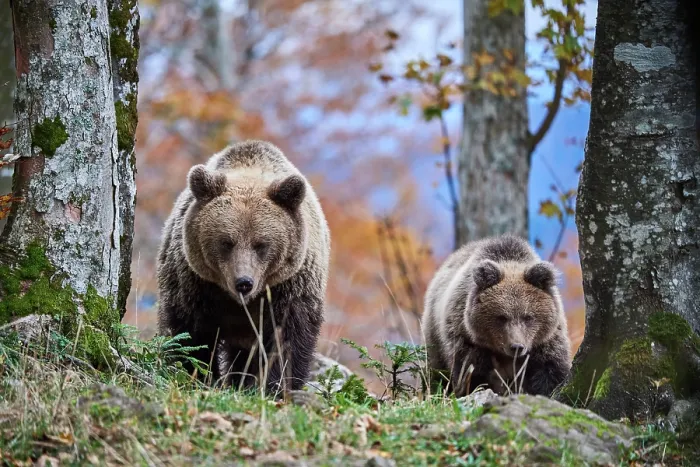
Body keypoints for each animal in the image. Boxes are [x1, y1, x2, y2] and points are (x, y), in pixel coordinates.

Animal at [156, 140, 331, 395]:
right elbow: (190, 332)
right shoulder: (195, 283)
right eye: (226, 242)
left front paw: (274, 386)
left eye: (261, 244)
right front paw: (198, 376)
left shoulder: (290, 286)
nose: (244, 282)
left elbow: (287, 338)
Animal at [422, 234, 571, 397]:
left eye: (528, 317)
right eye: (501, 317)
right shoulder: (467, 338)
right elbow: (471, 372)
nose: (517, 347)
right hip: (434, 333)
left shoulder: (546, 341)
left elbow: (549, 369)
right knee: (437, 371)